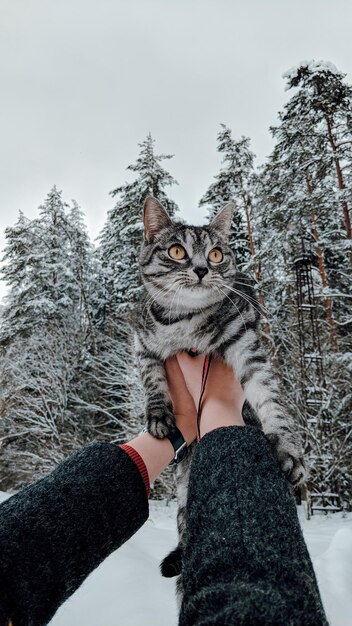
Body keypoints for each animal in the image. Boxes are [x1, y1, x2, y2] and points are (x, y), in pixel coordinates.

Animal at [134, 195, 306, 584]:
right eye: (177, 251)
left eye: (215, 254)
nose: (201, 269)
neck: (184, 324)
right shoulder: (142, 345)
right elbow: (152, 381)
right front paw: (159, 415)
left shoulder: (245, 345)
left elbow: (269, 396)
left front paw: (288, 448)